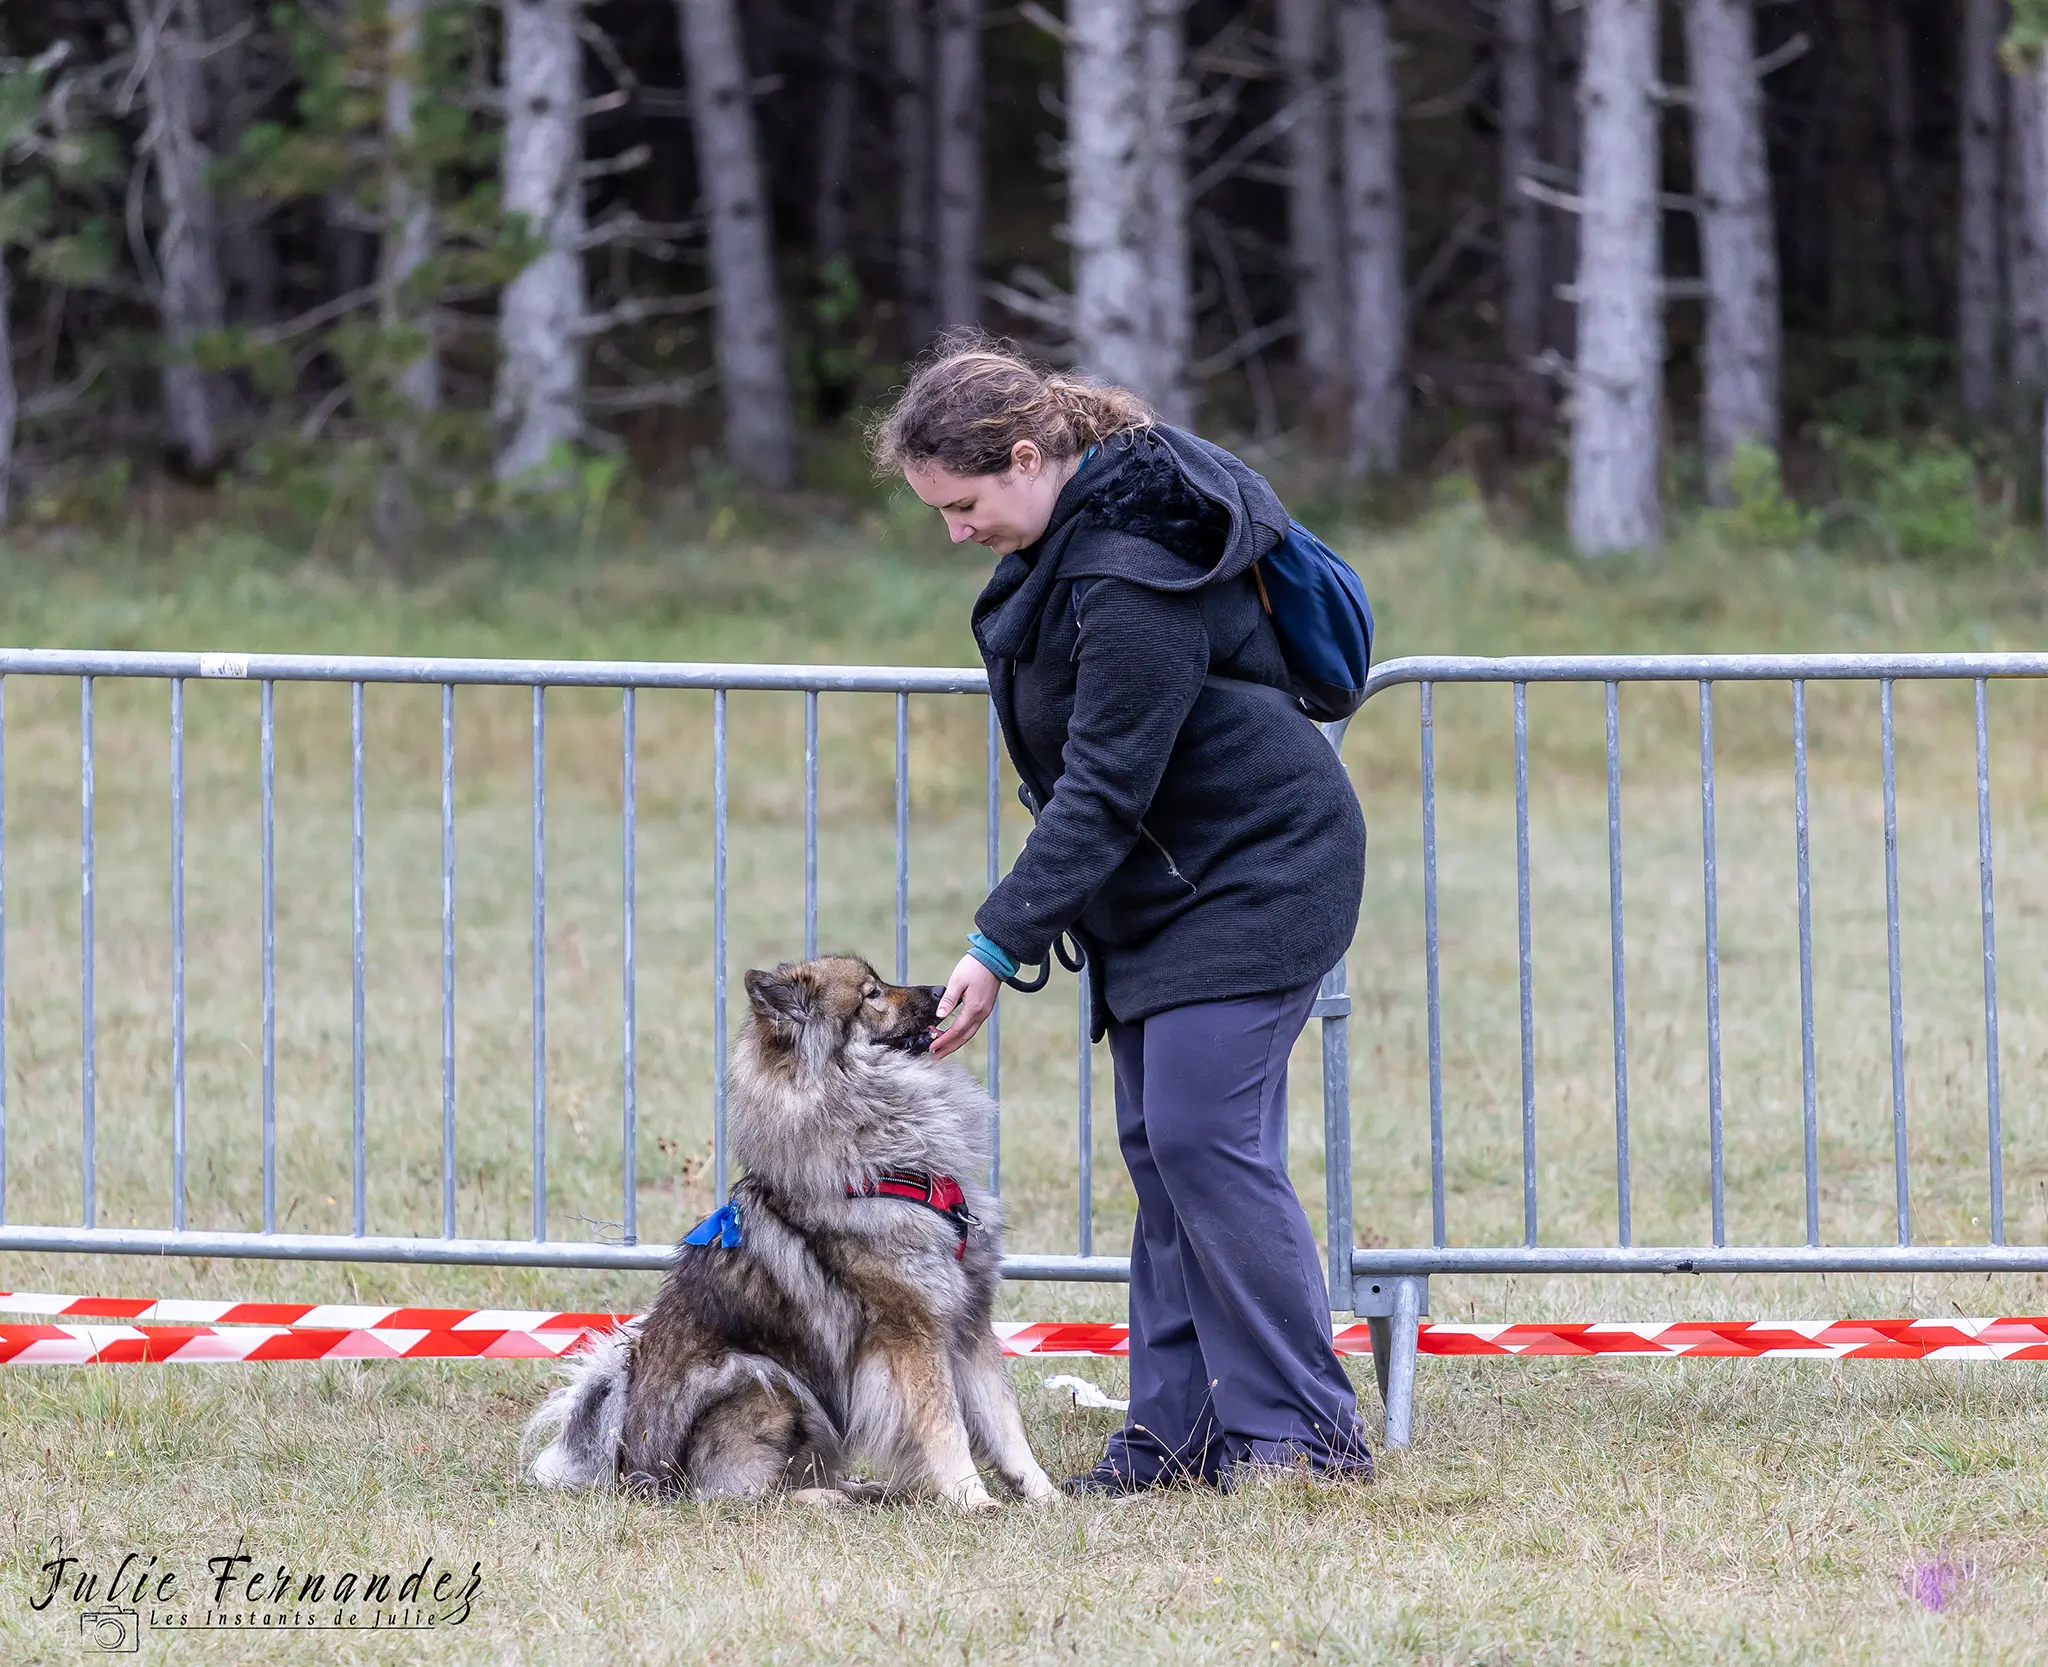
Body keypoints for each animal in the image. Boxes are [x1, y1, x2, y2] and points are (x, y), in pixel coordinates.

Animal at [524, 954, 1056, 1515]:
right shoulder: (911, 1332)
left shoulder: (969, 1321)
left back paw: (863, 1489)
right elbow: (944, 1425)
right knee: (738, 1493)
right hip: (763, 1377)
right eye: (871, 994)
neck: (888, 1164)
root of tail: (631, 1467)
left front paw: (1044, 1494)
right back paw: (828, 1498)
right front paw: (974, 1500)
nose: (942, 990)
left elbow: (1004, 1422)